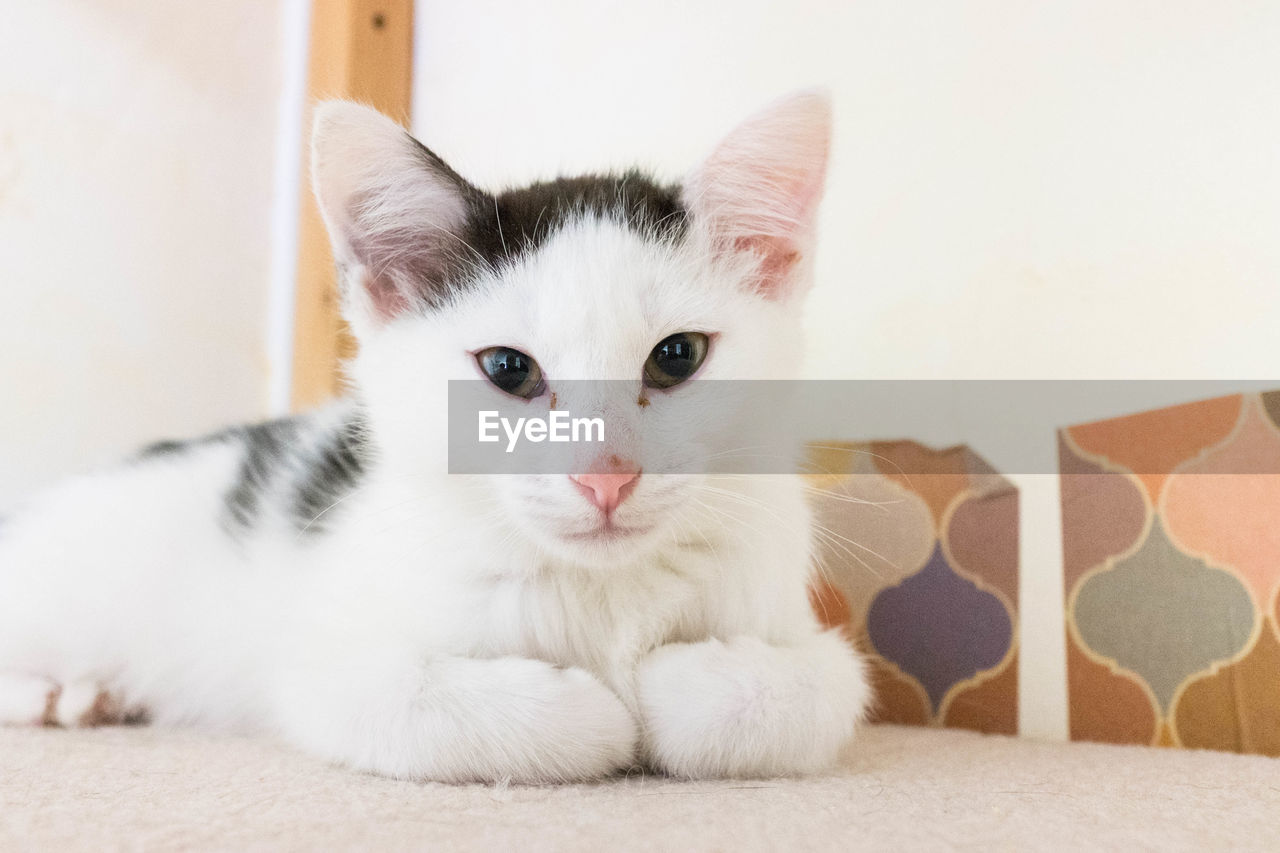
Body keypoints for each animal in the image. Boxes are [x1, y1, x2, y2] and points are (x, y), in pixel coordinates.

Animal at [0, 91, 870, 778]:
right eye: (509, 368)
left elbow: (809, 689)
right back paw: (59, 692)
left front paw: (670, 684)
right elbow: (421, 703)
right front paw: (598, 707)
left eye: (678, 355)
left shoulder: (804, 632)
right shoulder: (322, 662)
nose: (606, 476)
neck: (600, 589)